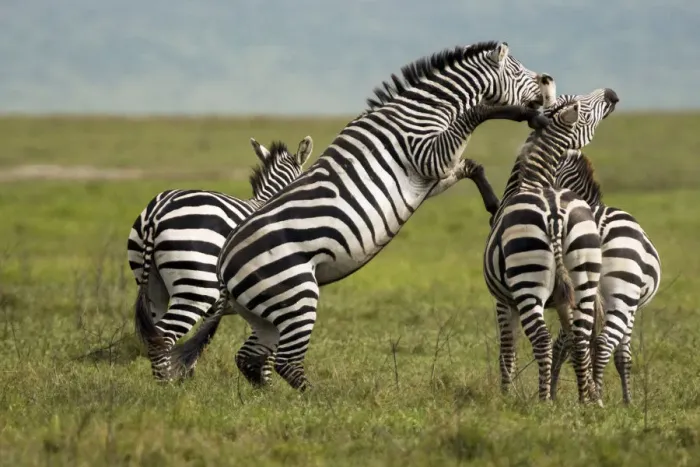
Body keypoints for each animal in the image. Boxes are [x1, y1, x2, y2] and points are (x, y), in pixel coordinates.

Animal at [127, 135, 314, 381]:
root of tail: (157, 213)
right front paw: (266, 381)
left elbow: (201, 341)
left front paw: (188, 377)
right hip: (196, 288)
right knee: (164, 334)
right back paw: (166, 385)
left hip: (150, 285)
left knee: (155, 334)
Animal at [167, 41, 552, 391]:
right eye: (519, 70)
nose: (549, 79)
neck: (427, 112)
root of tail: (224, 265)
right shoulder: (427, 155)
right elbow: (480, 116)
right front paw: (523, 114)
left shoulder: (433, 176)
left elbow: (474, 165)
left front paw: (493, 205)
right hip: (296, 294)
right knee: (286, 361)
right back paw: (318, 401)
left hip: (266, 312)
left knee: (249, 358)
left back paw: (268, 398)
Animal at [482, 76, 620, 404]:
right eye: (581, 104)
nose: (612, 94)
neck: (533, 180)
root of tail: (555, 212)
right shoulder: (561, 300)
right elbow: (571, 337)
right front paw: (589, 392)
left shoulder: (503, 301)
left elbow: (507, 349)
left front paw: (505, 395)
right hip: (584, 276)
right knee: (581, 335)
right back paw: (586, 401)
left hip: (526, 281)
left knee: (542, 339)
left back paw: (543, 400)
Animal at [548, 150, 661, 405]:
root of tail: (596, 224)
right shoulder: (632, 308)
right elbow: (623, 356)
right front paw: (628, 401)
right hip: (621, 297)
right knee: (602, 343)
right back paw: (597, 396)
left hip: (578, 292)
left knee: (569, 344)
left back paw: (558, 394)